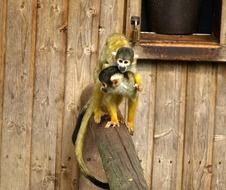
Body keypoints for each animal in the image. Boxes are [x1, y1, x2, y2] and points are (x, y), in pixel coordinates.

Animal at [73, 33, 141, 189]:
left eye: (126, 62)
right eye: (120, 61)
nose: (122, 66)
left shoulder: (130, 71)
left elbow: (133, 93)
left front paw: (130, 123)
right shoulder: (111, 65)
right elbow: (107, 90)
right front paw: (114, 120)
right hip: (98, 72)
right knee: (99, 79)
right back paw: (98, 110)